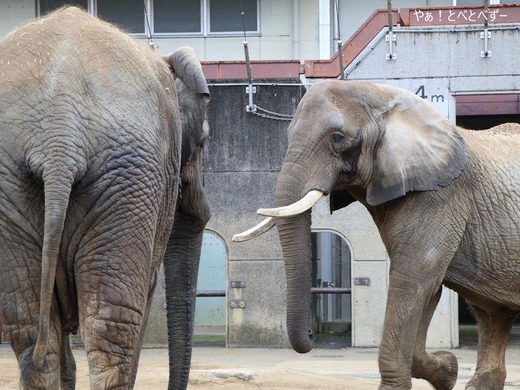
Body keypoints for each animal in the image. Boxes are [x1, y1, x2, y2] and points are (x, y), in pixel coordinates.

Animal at [1, 6, 209, 390]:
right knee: (113, 325)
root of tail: (60, 134)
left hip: (22, 180)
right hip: (128, 174)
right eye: (202, 142)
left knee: (31, 331)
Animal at [236, 77, 520, 388]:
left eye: (337, 138)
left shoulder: (439, 196)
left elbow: (412, 279)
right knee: (492, 313)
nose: (312, 336)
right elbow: (427, 289)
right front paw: (448, 371)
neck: (381, 95)